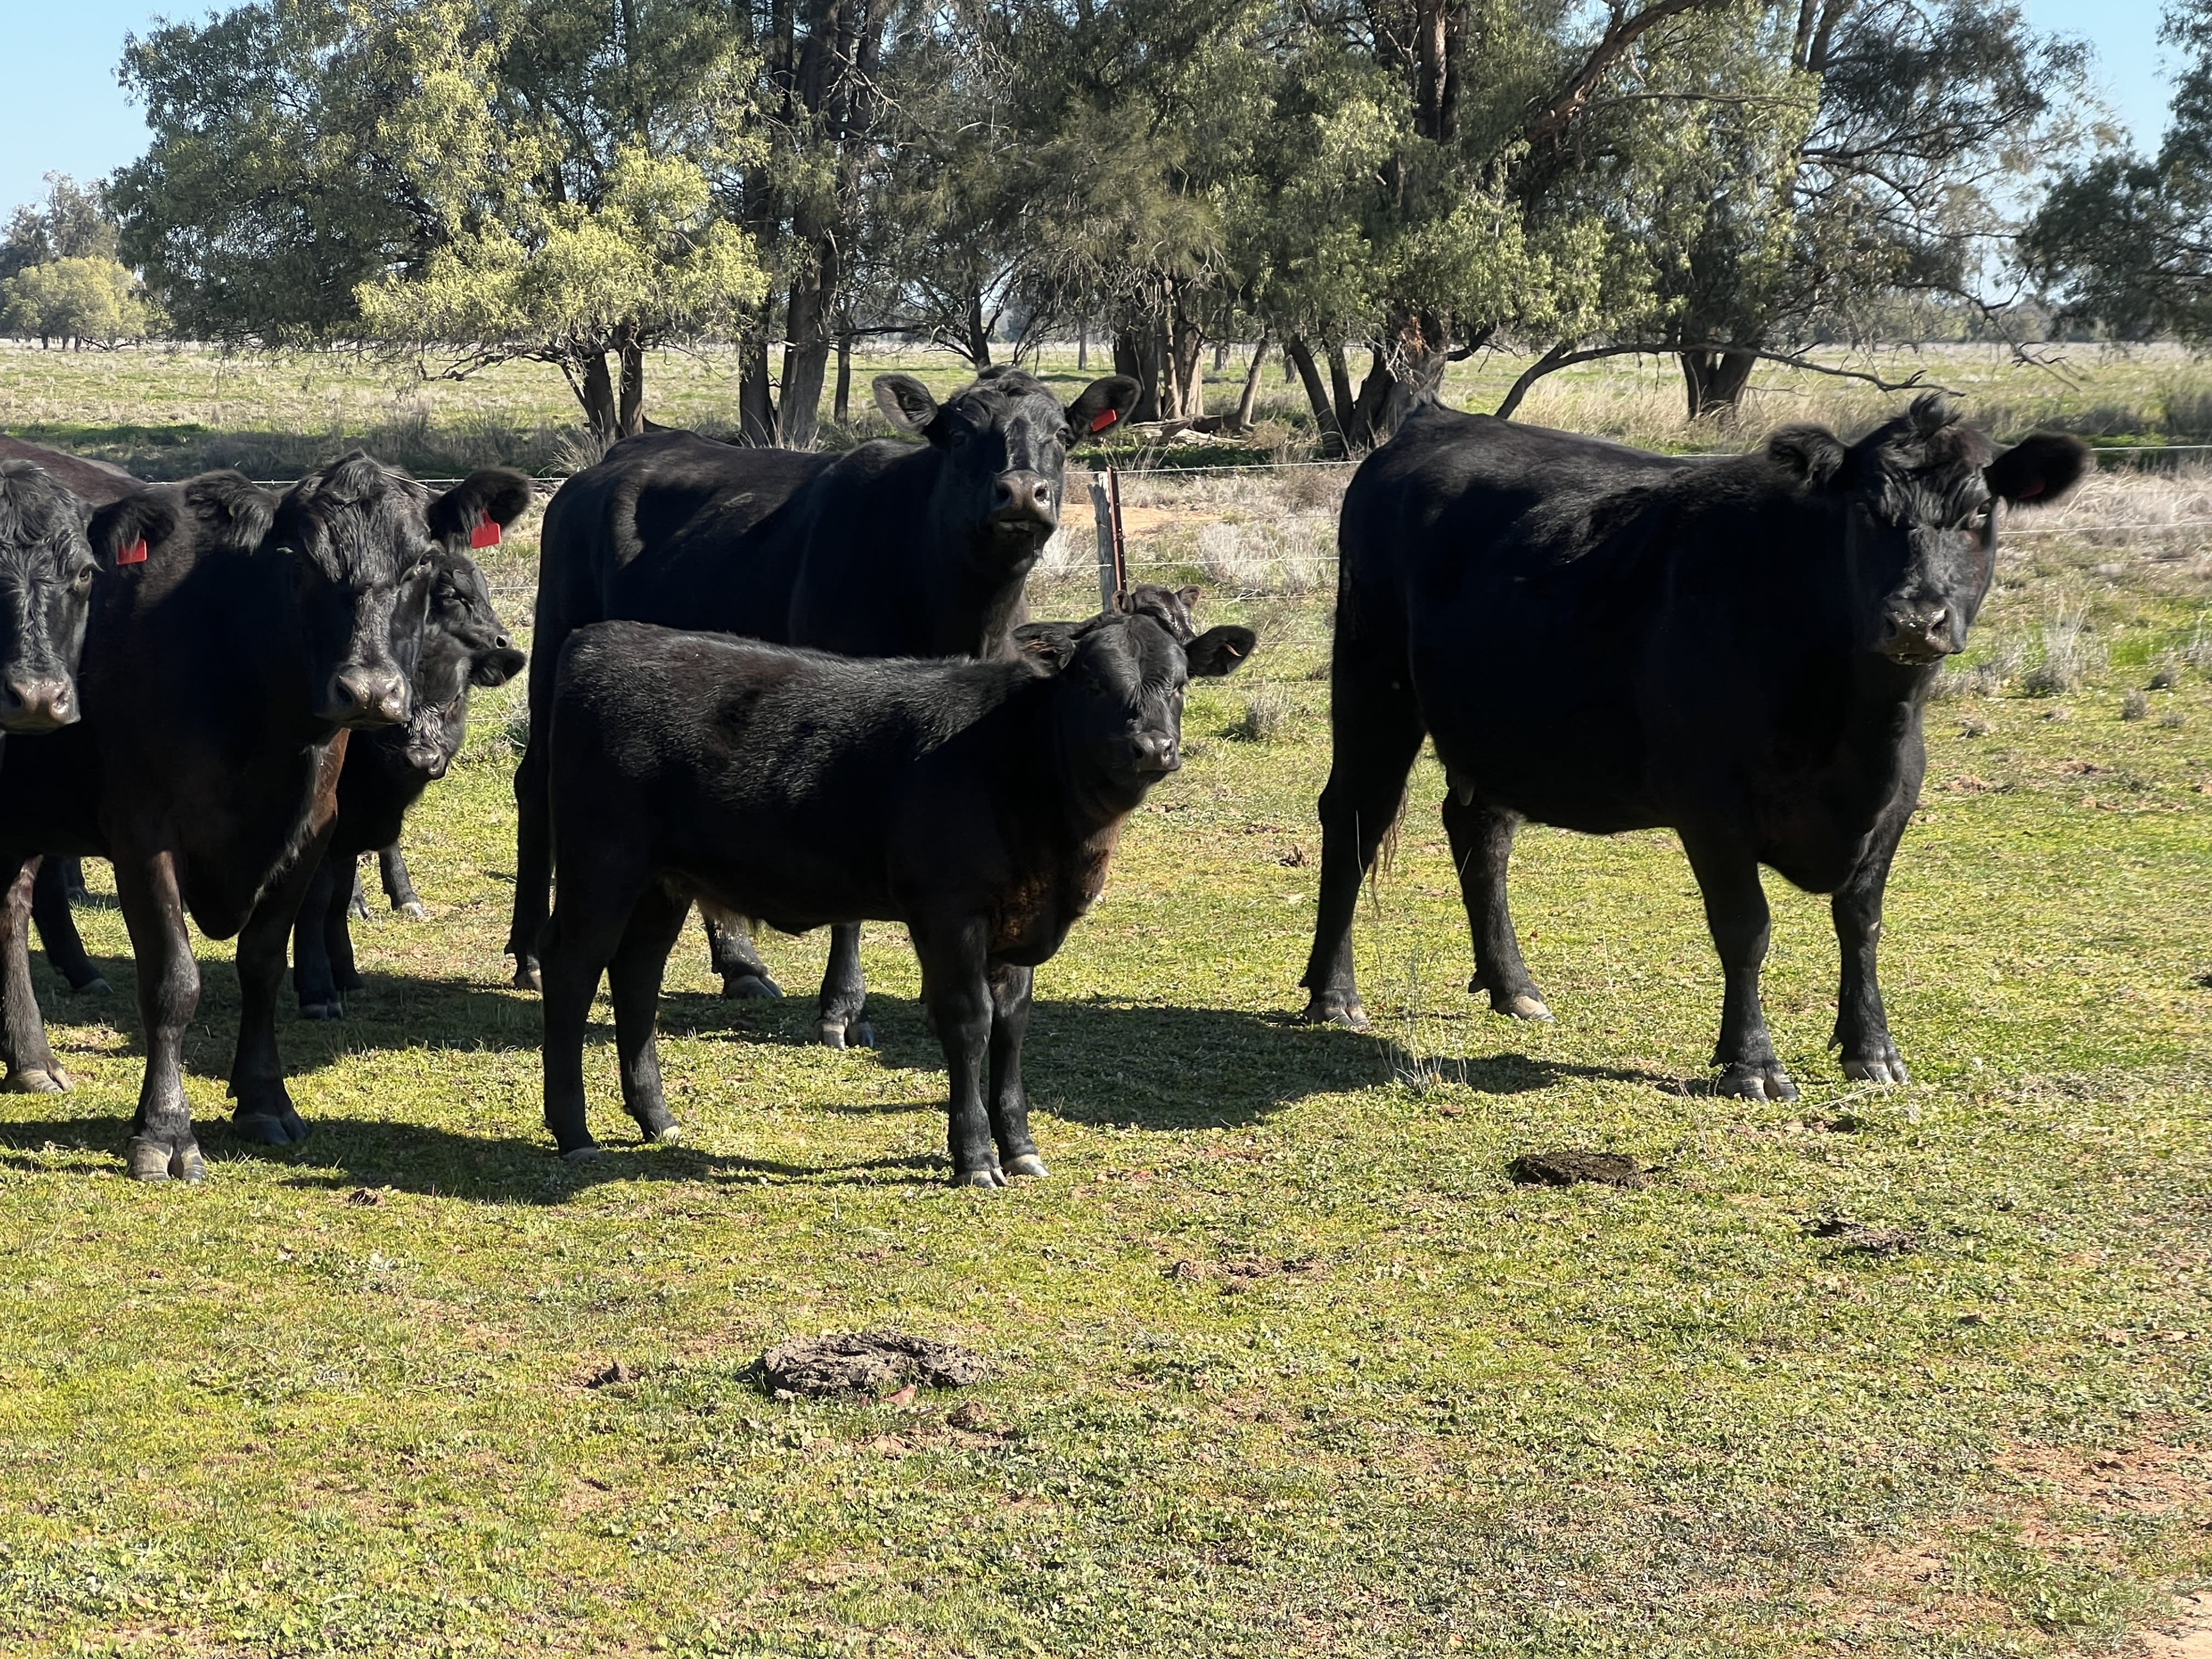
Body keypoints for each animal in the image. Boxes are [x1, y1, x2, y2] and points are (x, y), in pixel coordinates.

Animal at [291, 538, 528, 1017]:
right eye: (453, 594)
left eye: (455, 698)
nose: (421, 759)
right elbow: (318, 899)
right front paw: (319, 991)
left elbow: (339, 896)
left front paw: (347, 974)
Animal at [509, 365, 1141, 1047]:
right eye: (961, 435)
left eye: (1063, 436)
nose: (1023, 492)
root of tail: (613, 459)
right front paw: (843, 1007)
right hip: (555, 644)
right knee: (534, 782)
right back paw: (529, 953)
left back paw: (741, 964)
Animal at [538, 610, 1254, 1181]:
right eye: (1094, 682)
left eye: (1181, 683)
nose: (1152, 747)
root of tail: (605, 635)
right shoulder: (950, 912)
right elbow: (969, 1023)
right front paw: (975, 1157)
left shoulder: (1017, 923)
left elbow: (1013, 1025)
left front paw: (1020, 1146)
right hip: (600, 864)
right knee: (573, 973)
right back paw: (574, 1132)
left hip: (663, 882)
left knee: (636, 975)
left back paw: (657, 1119)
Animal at [1300, 395, 2088, 1099]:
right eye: (1868, 511)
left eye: (1979, 514)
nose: (1917, 620)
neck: (1856, 730)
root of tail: (1436, 417)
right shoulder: (1709, 801)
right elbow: (1745, 928)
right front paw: (1753, 1064)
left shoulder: (1898, 796)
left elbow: (1861, 921)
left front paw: (1872, 1050)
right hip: (1372, 680)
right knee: (1354, 817)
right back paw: (1333, 994)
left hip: (1493, 728)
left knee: (1481, 833)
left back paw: (1514, 988)